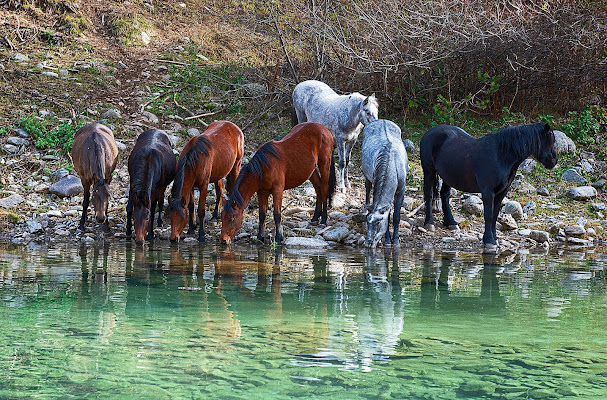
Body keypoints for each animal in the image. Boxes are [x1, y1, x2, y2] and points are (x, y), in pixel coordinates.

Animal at [360, 120, 408, 248]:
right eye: (368, 221)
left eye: (378, 221)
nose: (368, 243)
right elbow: (389, 216)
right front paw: (387, 240)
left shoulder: (401, 190)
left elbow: (396, 217)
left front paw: (395, 241)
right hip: (366, 175)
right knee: (367, 189)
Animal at [420, 122, 560, 253]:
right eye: (551, 140)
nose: (554, 161)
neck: (501, 156)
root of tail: (429, 132)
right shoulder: (488, 191)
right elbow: (488, 215)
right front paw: (489, 240)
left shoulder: (501, 192)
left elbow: (495, 214)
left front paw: (494, 238)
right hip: (429, 171)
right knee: (429, 195)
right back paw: (429, 223)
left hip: (448, 176)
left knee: (444, 195)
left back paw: (451, 222)